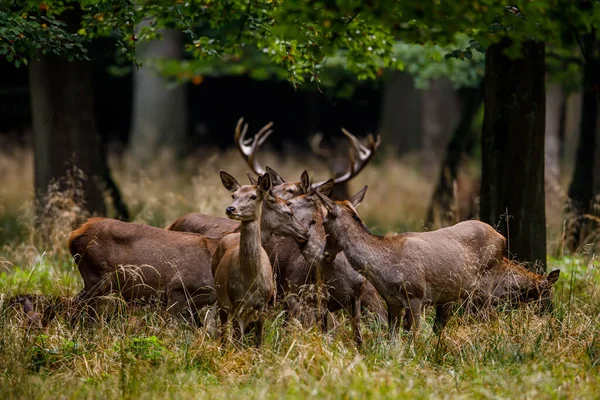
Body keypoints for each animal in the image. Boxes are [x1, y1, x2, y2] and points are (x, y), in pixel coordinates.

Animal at [213, 170, 298, 346]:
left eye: (253, 196)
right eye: (233, 195)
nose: (230, 209)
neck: (250, 280)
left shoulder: (263, 305)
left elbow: (258, 341)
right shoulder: (236, 303)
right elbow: (238, 341)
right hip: (221, 300)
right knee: (224, 333)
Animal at [314, 188, 564, 338]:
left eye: (324, 222)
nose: (325, 255)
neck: (384, 266)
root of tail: (502, 238)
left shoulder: (416, 294)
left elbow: (414, 335)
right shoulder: (392, 301)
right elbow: (392, 337)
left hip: (484, 288)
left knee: (489, 320)